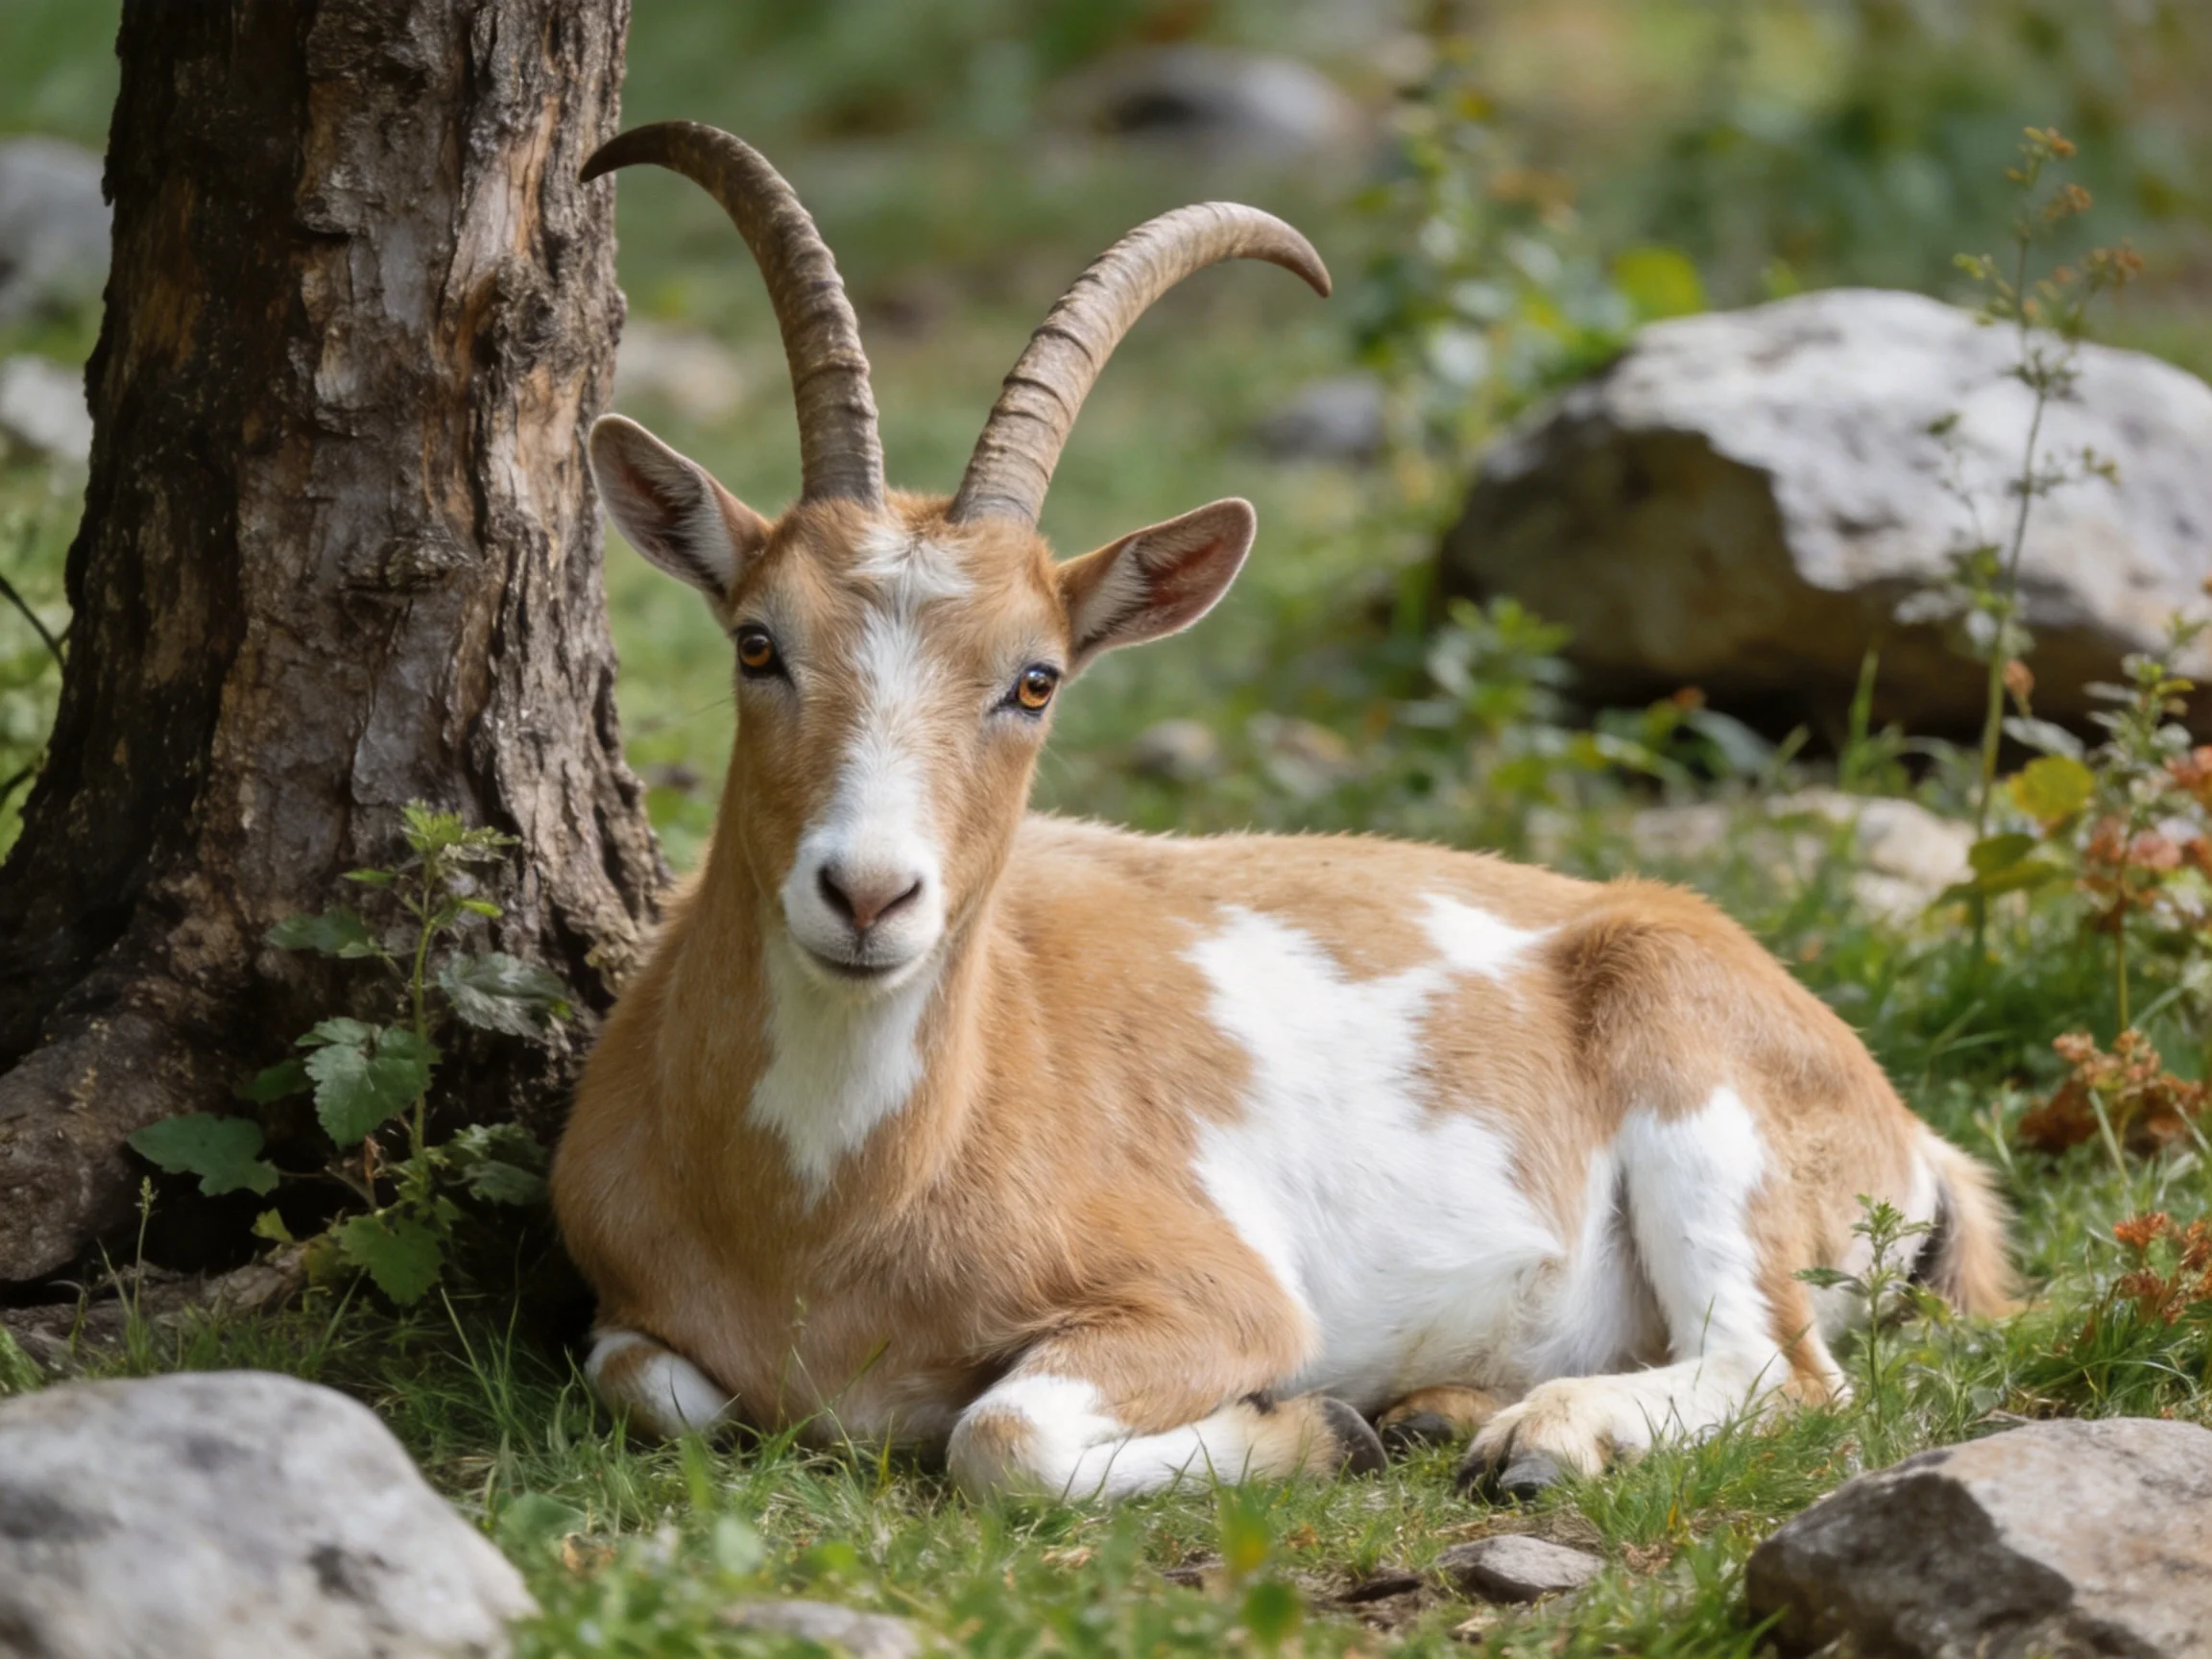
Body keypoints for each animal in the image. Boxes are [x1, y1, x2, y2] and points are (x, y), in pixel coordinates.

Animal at [553, 121, 2013, 1501]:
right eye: (758, 642)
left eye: (1035, 678)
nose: (867, 895)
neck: (833, 1221)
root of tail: (1905, 1133)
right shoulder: (631, 1314)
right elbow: (650, 1385)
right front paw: (1352, 1427)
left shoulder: (1218, 1300)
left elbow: (1002, 1434)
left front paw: (1313, 1429)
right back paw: (1443, 1412)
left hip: (1700, 1095)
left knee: (1782, 1370)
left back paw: (1536, 1438)